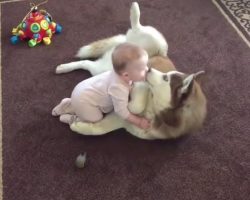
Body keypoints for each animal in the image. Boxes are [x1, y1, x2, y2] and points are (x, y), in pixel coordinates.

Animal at [54, 1, 207, 139]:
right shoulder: (141, 85)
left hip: (108, 65)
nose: (148, 68)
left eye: (166, 78)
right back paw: (135, 10)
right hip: (156, 43)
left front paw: (77, 124)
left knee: (89, 64)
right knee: (137, 28)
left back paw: (63, 103)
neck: (156, 113)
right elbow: (137, 103)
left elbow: (98, 129)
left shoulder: (125, 121)